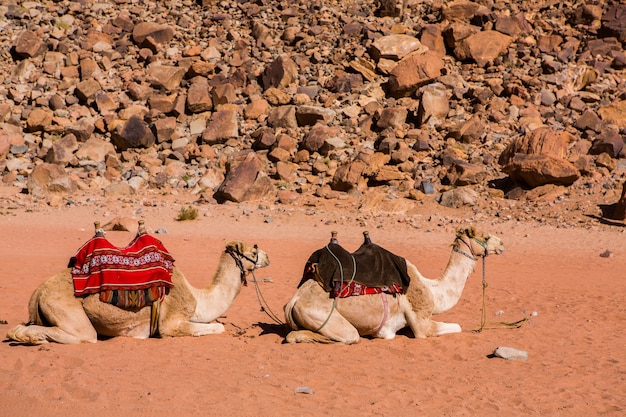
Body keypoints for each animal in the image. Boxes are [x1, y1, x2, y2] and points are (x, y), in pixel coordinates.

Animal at [6, 240, 268, 344]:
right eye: (254, 251)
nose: (268, 257)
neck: (198, 297)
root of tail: (38, 291)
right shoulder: (169, 322)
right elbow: (218, 327)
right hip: (65, 309)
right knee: (83, 335)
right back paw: (32, 338)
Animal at [282, 226, 502, 342]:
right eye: (485, 236)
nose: (501, 244)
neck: (432, 290)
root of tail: (294, 300)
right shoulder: (421, 323)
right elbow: (457, 326)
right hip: (322, 316)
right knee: (347, 336)